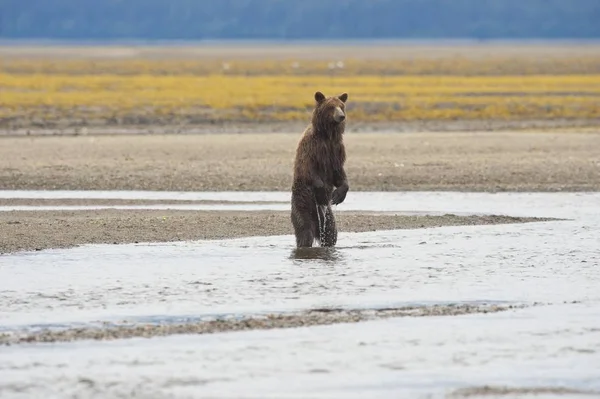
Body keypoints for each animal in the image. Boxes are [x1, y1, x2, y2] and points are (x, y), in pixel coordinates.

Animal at [290, 91, 346, 248]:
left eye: (341, 106)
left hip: (327, 215)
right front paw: (321, 192)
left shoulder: (337, 150)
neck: (328, 135)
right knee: (305, 231)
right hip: (302, 204)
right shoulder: (311, 148)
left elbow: (339, 173)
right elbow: (309, 169)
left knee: (331, 233)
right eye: (331, 107)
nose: (341, 116)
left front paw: (338, 195)